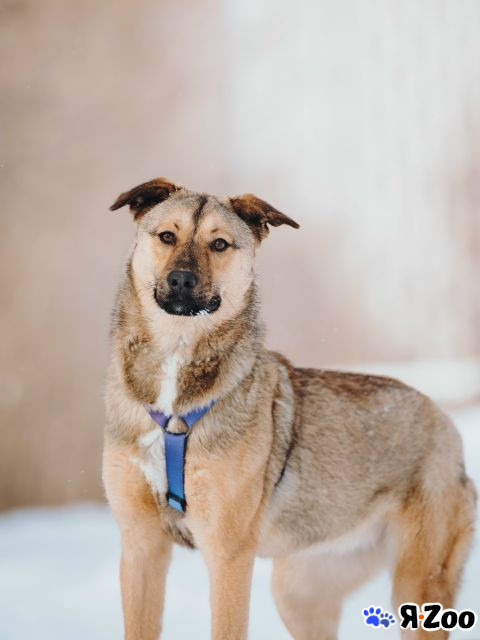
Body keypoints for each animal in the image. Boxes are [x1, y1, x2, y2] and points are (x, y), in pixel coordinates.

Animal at [103, 177, 476, 640]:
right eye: (167, 236)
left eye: (219, 244)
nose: (181, 280)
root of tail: (445, 423)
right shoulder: (141, 545)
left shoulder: (228, 553)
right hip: (301, 592)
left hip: (419, 581)